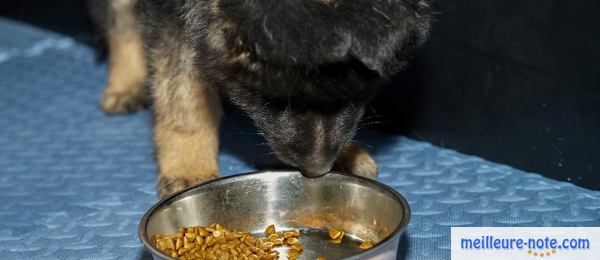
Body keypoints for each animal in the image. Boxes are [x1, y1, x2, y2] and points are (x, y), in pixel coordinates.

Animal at [88, 0, 432, 197]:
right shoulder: (171, 18)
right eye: (274, 98)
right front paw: (189, 168)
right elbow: (183, 97)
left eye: (360, 92)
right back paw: (127, 80)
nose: (318, 171)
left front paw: (345, 156)